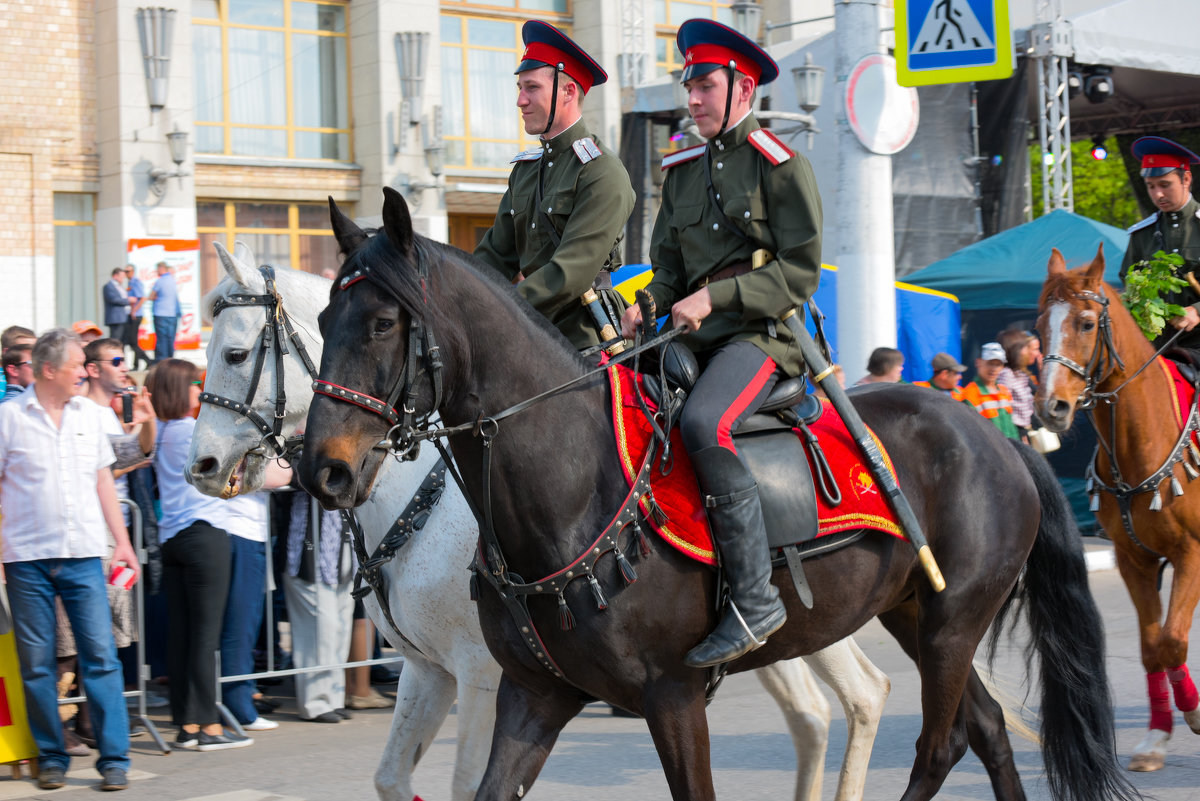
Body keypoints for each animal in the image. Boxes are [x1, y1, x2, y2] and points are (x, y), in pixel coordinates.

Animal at [187, 241, 897, 801]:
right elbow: (391, 778)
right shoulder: (428, 671)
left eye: (236, 353)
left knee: (854, 698)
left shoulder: (482, 675)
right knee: (830, 707)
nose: (201, 465)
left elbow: (463, 783)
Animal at [295, 189, 1137, 801]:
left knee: (940, 741)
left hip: (953, 621)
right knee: (986, 729)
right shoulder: (531, 694)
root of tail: (999, 436)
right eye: (322, 316)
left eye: (381, 322)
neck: (568, 485)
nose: (322, 471)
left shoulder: (670, 697)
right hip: (912, 612)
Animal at [1032, 247, 1200, 772]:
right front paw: (1156, 736)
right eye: (1039, 325)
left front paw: (1195, 714)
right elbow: (1153, 647)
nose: (1050, 408)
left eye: (1087, 323)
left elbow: (1172, 640)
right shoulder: (1135, 560)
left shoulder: (1192, 555)